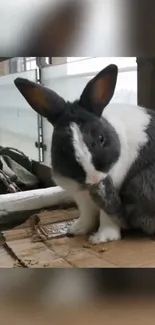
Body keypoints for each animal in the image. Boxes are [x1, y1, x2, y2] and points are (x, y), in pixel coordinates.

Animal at [13, 64, 155, 243]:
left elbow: (107, 215)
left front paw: (102, 238)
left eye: (101, 138)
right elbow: (87, 214)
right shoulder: (80, 195)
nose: (93, 179)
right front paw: (76, 230)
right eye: (62, 148)